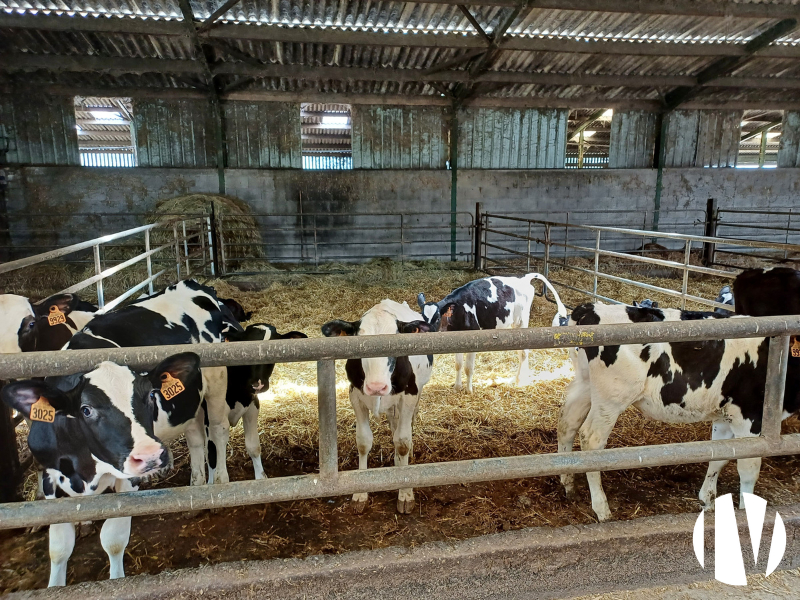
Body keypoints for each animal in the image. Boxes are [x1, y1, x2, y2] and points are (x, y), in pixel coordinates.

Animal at [3, 354, 202, 588]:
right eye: (86, 409)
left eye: (152, 395)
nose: (150, 455)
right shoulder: (51, 478)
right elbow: (59, 548)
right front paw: (54, 587)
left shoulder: (128, 482)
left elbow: (114, 539)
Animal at [66, 278, 242, 486]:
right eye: (86, 410)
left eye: (149, 395)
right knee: (195, 436)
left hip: (216, 377)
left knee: (218, 428)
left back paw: (221, 479)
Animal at [416, 274, 564, 394]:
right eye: (422, 316)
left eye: (437, 318)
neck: (459, 310)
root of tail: (523, 278)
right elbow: (458, 365)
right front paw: (457, 387)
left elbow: (468, 367)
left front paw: (469, 390)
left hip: (522, 321)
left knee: (523, 352)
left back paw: (520, 380)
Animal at [560, 302, 796, 524]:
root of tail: (590, 308)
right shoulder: (750, 417)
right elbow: (749, 468)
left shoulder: (725, 416)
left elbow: (719, 456)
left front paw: (707, 499)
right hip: (612, 398)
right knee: (591, 440)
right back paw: (602, 509)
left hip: (585, 384)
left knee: (567, 423)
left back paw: (567, 483)